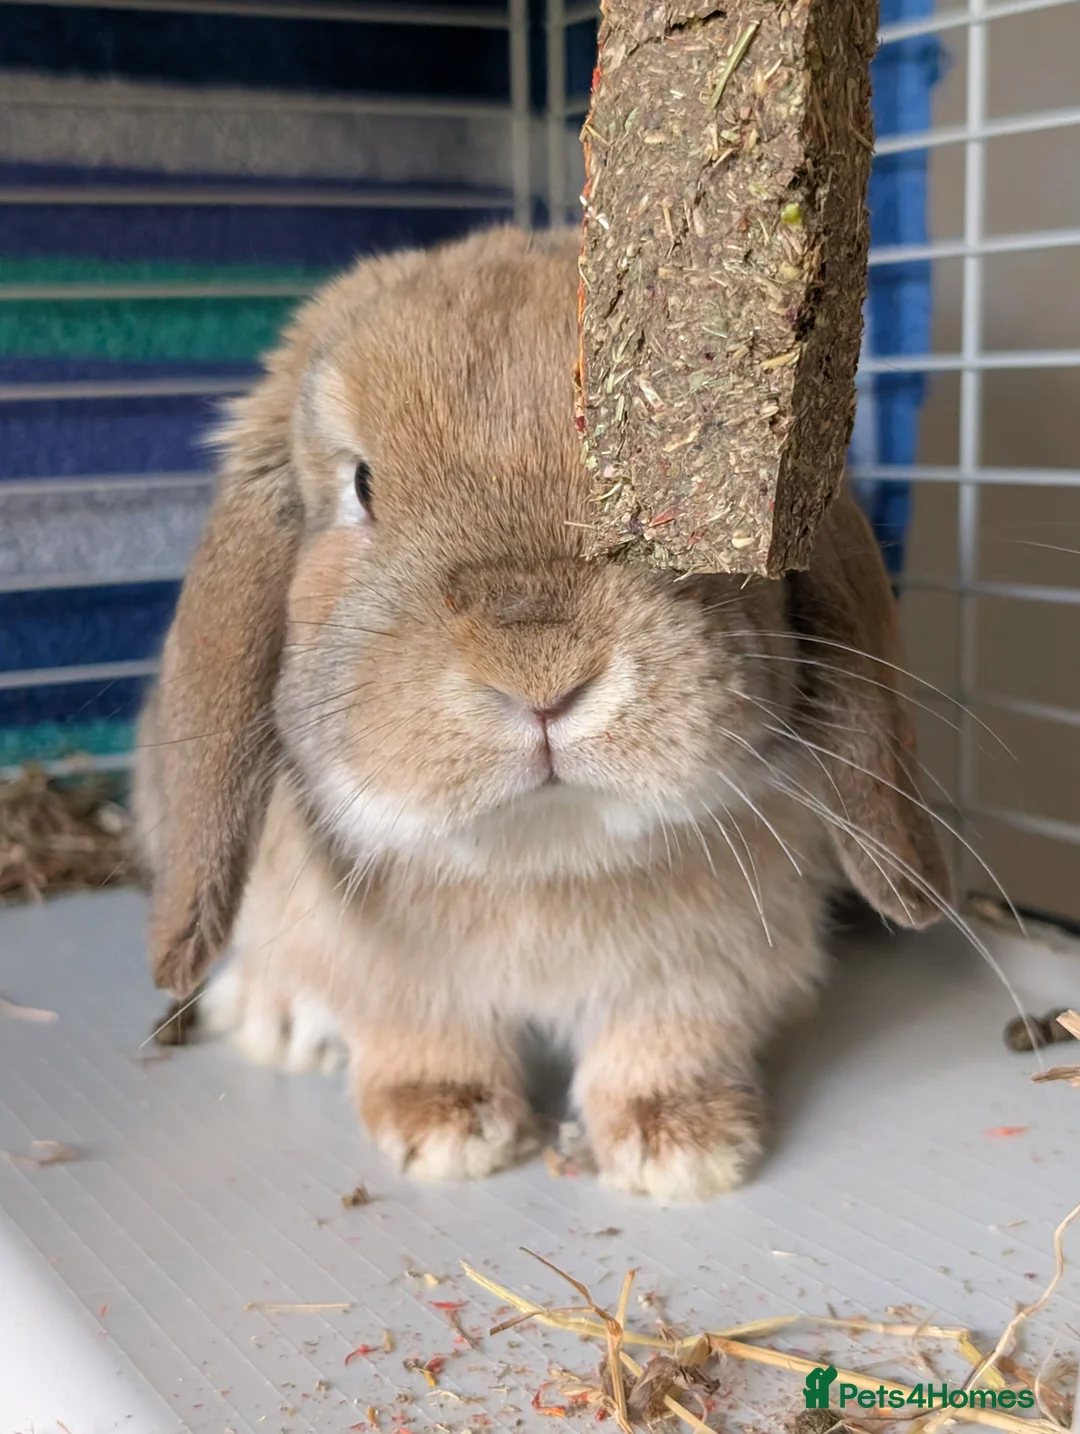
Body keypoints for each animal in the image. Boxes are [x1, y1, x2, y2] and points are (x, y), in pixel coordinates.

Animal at [135, 225, 950, 1203]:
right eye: (361, 486)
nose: (542, 674)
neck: (541, 852)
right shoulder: (392, 977)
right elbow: (420, 1036)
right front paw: (446, 1130)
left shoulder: (706, 971)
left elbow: (665, 1042)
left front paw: (683, 1147)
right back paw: (277, 1018)